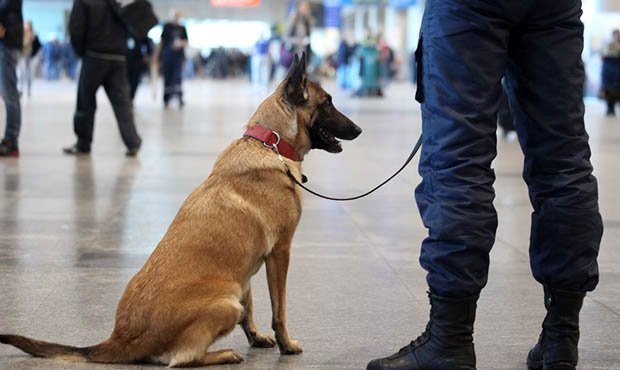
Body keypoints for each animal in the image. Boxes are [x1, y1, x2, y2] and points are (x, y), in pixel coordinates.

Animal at [0, 54, 360, 368]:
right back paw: (223, 354)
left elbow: (251, 307)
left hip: (230, 290)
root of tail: (121, 338)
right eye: (328, 102)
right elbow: (278, 309)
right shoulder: (280, 253)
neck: (269, 143)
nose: (358, 130)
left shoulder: (245, 271)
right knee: (182, 359)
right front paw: (287, 344)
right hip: (225, 301)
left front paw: (256, 337)